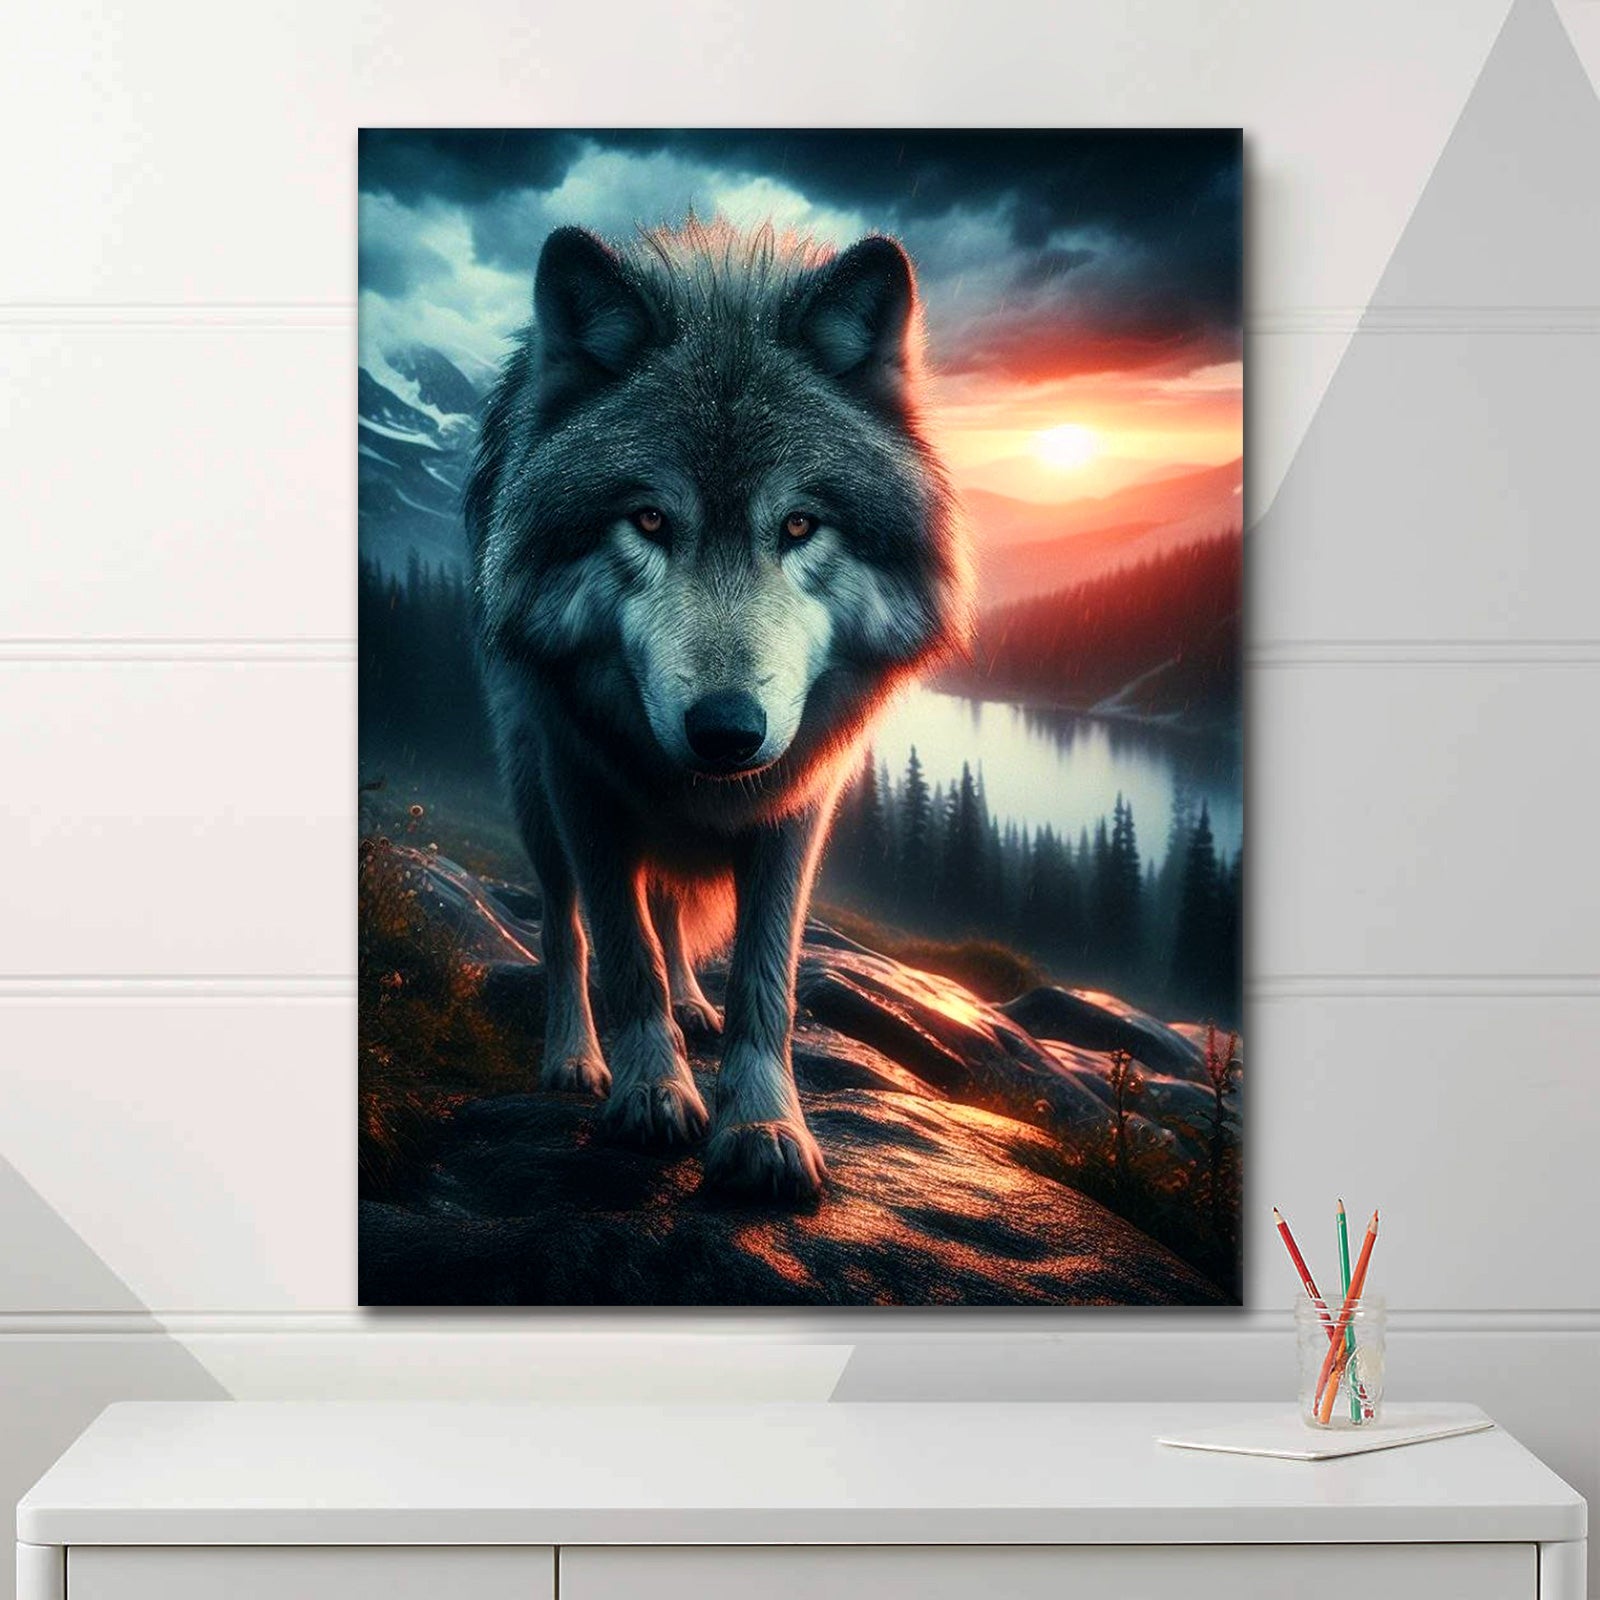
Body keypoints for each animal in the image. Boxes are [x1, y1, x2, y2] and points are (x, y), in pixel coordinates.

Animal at [464, 218, 971, 1203]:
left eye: (801, 526)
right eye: (651, 521)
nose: (728, 732)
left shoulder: (801, 800)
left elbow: (764, 978)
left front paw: (765, 1126)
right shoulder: (582, 783)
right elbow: (622, 952)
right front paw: (650, 1092)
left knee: (670, 912)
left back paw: (692, 1007)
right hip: (531, 789)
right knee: (564, 926)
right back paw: (574, 1056)